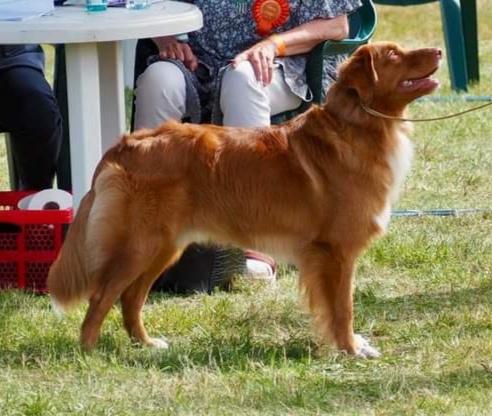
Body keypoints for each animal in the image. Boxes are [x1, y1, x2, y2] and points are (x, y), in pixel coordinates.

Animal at [48, 42, 442, 356]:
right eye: (394, 55)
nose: (438, 51)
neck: (358, 125)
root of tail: (128, 142)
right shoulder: (336, 251)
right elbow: (343, 308)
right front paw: (350, 348)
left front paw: (345, 345)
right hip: (139, 244)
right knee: (102, 296)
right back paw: (88, 352)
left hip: (163, 246)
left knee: (130, 299)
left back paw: (145, 344)